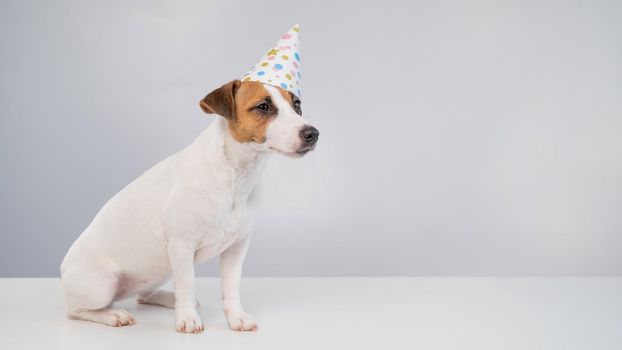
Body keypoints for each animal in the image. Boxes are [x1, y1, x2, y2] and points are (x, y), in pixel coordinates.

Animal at [60, 80, 320, 334]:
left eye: (297, 105)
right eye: (263, 106)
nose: (313, 133)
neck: (235, 175)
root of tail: (63, 268)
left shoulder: (236, 247)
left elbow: (231, 285)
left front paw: (236, 317)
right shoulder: (181, 246)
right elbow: (187, 284)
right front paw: (187, 318)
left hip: (157, 272)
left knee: (143, 295)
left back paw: (166, 298)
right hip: (100, 286)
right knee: (76, 311)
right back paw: (113, 315)